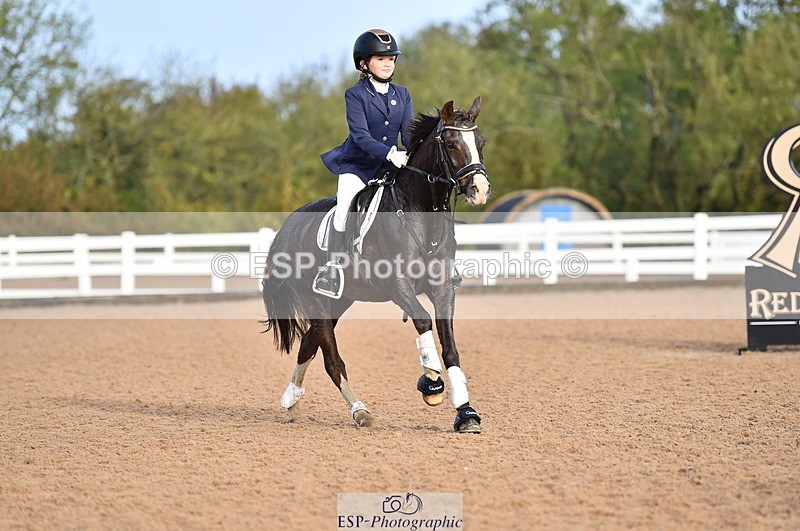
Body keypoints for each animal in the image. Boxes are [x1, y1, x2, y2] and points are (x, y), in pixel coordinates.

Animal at [261, 97, 490, 433]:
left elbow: (450, 346)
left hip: (338, 301)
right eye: (450, 143)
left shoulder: (443, 287)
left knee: (308, 345)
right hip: (314, 298)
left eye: (481, 142)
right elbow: (423, 321)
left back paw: (291, 402)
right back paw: (360, 412)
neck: (421, 213)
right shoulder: (397, 285)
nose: (480, 189)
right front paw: (431, 384)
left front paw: (466, 412)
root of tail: (289, 225)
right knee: (332, 360)